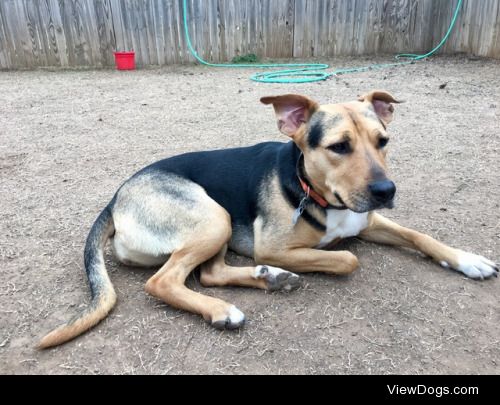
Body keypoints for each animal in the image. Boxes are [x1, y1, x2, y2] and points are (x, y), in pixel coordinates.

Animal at [38, 90, 496, 348]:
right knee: (164, 281)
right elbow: (346, 258)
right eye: (339, 146)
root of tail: (116, 197)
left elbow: (420, 236)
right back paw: (225, 309)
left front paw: (468, 260)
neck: (319, 191)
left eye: (383, 141)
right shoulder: (275, 245)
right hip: (214, 217)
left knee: (210, 273)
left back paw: (268, 279)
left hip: (217, 224)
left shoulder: (367, 221)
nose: (387, 191)